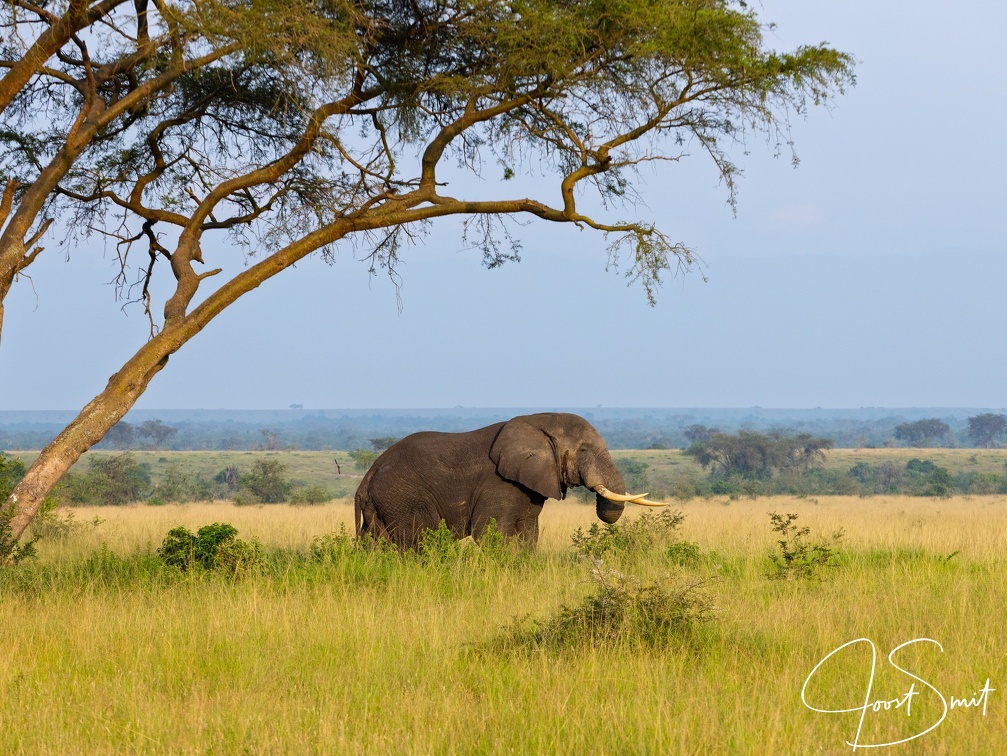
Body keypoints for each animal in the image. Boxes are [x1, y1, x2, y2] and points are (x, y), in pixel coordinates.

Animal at [354, 412, 663, 549]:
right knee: (418, 543)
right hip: (403, 499)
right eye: (584, 450)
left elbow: (528, 532)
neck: (538, 421)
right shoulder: (499, 483)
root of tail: (368, 476)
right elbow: (491, 532)